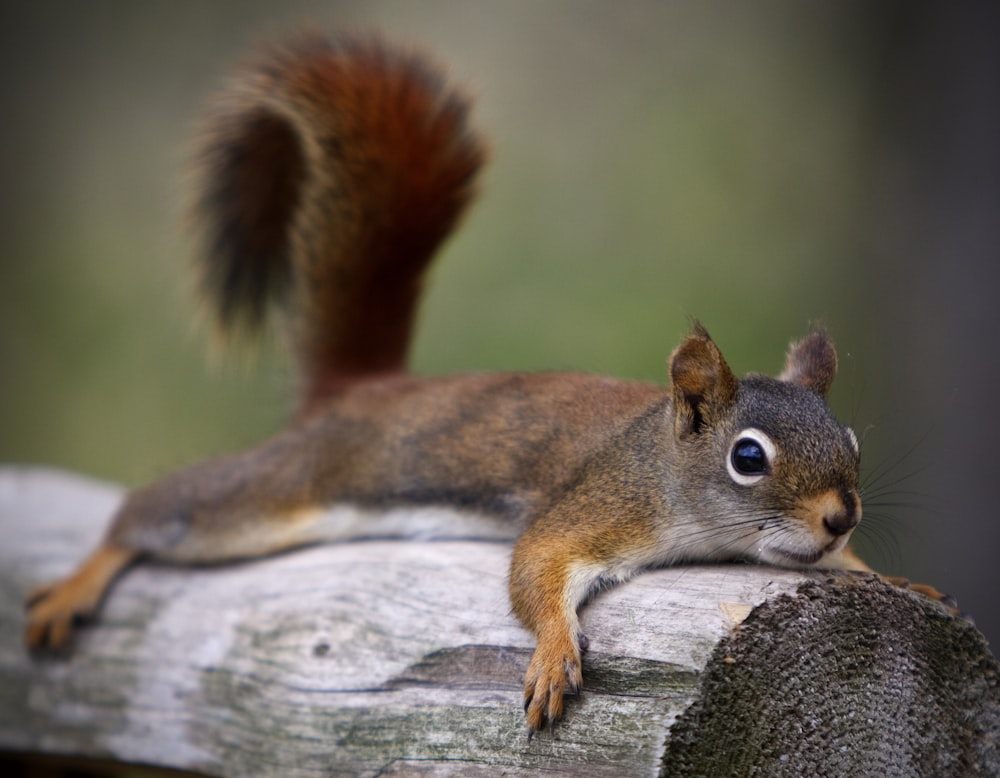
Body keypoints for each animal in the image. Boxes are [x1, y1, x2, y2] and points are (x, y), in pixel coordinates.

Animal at [19, 30, 948, 732]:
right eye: (748, 458)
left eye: (852, 442)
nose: (840, 515)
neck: (664, 465)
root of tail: (361, 391)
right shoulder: (597, 505)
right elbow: (535, 568)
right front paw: (553, 654)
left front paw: (884, 575)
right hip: (280, 490)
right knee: (162, 511)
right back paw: (79, 583)